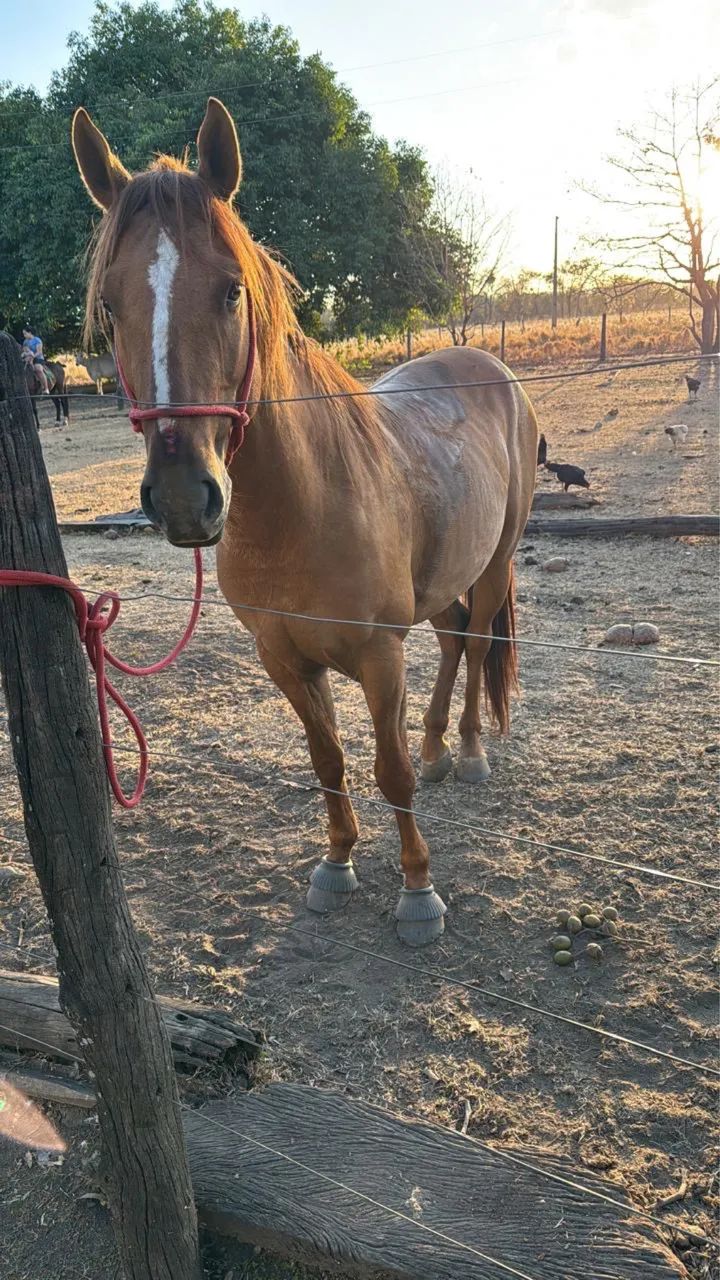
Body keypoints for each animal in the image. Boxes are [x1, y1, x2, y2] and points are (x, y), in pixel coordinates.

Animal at [72, 99, 538, 946]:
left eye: (231, 291)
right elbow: (329, 762)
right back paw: (438, 748)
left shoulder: (379, 657)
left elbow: (386, 770)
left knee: (482, 637)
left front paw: (418, 891)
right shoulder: (284, 660)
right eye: (112, 306)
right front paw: (337, 864)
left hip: (494, 564)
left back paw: (467, 752)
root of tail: (491, 367)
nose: (185, 495)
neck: (303, 509)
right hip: (443, 581)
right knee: (455, 641)